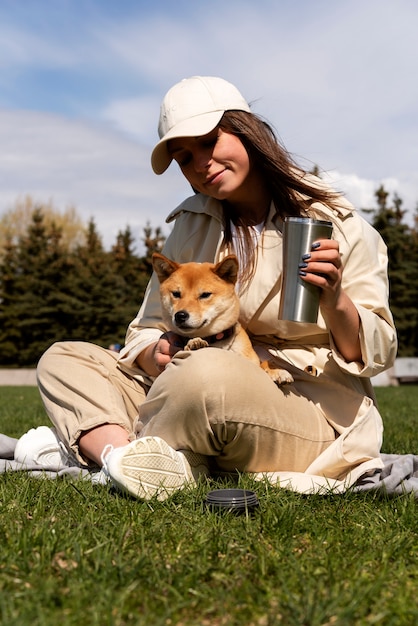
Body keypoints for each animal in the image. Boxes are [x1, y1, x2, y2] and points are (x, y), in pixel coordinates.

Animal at [152, 251, 292, 382]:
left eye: (205, 295)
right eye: (176, 294)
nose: (180, 315)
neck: (215, 340)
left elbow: (262, 365)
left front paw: (276, 371)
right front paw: (194, 342)